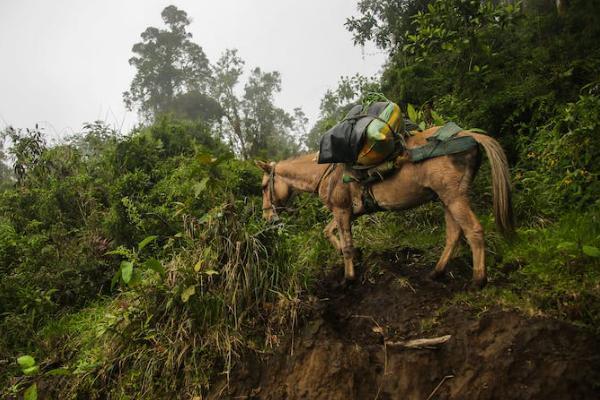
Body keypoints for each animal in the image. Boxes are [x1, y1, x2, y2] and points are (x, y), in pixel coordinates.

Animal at [255, 126, 512, 286]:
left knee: (473, 231)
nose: (267, 217)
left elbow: (345, 245)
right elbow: (329, 232)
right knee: (454, 234)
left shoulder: (341, 210)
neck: (326, 173)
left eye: (264, 186)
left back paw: (478, 280)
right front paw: (352, 255)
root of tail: (469, 134)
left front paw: (348, 279)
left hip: (454, 197)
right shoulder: (349, 211)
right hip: (446, 198)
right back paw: (436, 273)